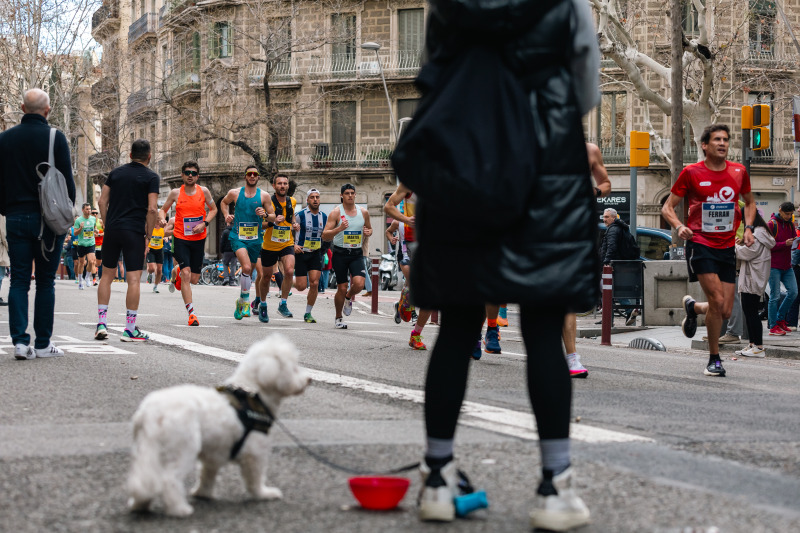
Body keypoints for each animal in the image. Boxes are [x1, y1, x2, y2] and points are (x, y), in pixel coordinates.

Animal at [126, 334, 310, 512]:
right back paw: (179, 509)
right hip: (183, 448)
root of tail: (151, 412)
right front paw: (263, 494)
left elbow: (207, 475)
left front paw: (203, 493)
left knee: (146, 479)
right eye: (294, 368)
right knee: (169, 479)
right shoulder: (255, 452)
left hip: (150, 449)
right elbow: (255, 478)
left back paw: (140, 505)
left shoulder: (214, 454)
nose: (308, 379)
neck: (253, 393)